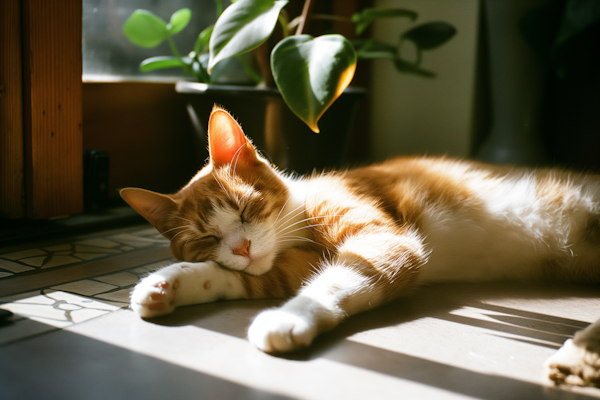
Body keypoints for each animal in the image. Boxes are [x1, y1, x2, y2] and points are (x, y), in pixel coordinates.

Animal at [119, 106, 600, 388]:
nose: (242, 248)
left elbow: (331, 284)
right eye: (206, 239)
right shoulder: (290, 264)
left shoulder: (382, 241)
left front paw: (287, 320)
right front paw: (166, 286)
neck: (298, 226)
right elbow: (239, 278)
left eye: (244, 207)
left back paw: (579, 357)